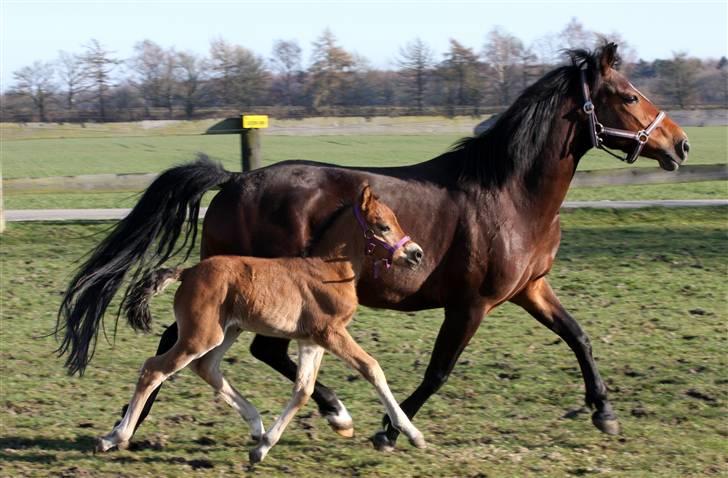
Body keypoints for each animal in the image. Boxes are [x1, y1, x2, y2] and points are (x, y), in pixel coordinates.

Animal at [96, 186, 426, 464]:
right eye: (383, 226)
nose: (416, 253)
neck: (327, 270)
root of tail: (188, 272)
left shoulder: (311, 339)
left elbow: (303, 389)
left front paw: (263, 447)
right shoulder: (331, 333)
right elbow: (372, 368)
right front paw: (412, 434)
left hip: (228, 331)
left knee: (206, 368)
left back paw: (257, 426)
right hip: (200, 336)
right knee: (154, 369)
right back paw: (113, 437)